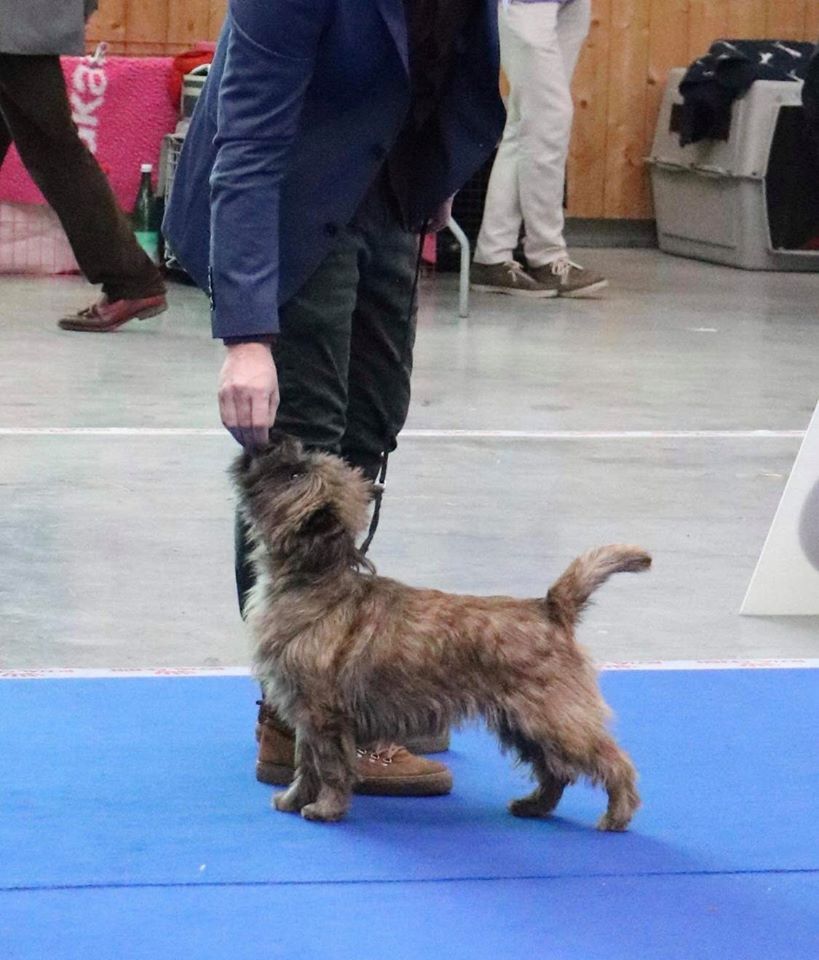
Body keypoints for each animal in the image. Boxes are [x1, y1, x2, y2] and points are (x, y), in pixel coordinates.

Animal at [232, 438, 652, 828]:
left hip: (555, 719)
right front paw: (292, 799)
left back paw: (617, 815)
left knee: (612, 761)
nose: (279, 439)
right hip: (521, 723)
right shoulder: (305, 716)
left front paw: (325, 809)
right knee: (556, 770)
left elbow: (330, 767)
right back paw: (534, 805)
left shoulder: (325, 716)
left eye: (294, 474)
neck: (314, 579)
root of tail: (550, 608)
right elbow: (305, 763)